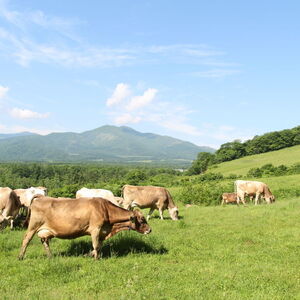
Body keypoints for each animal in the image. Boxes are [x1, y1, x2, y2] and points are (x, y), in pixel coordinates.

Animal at [17, 197, 151, 260]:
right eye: (142, 220)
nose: (150, 230)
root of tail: (39, 198)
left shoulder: (102, 232)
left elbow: (98, 246)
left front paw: (89, 255)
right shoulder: (95, 229)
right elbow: (96, 246)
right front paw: (96, 259)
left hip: (45, 231)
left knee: (45, 242)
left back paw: (51, 257)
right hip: (33, 226)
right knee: (26, 240)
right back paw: (20, 257)